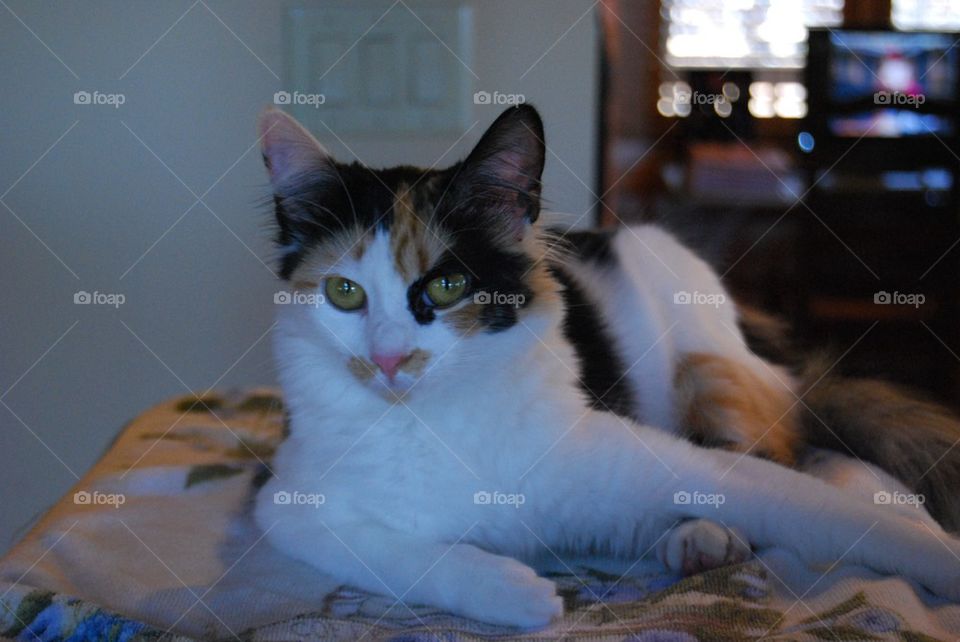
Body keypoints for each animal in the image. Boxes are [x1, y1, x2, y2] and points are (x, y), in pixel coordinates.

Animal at [255, 105, 960, 624]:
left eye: (449, 287)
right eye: (344, 292)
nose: (389, 359)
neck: (431, 423)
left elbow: (838, 516)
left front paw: (940, 559)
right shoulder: (287, 505)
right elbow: (402, 556)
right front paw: (519, 592)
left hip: (705, 364)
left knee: (788, 454)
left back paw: (704, 534)